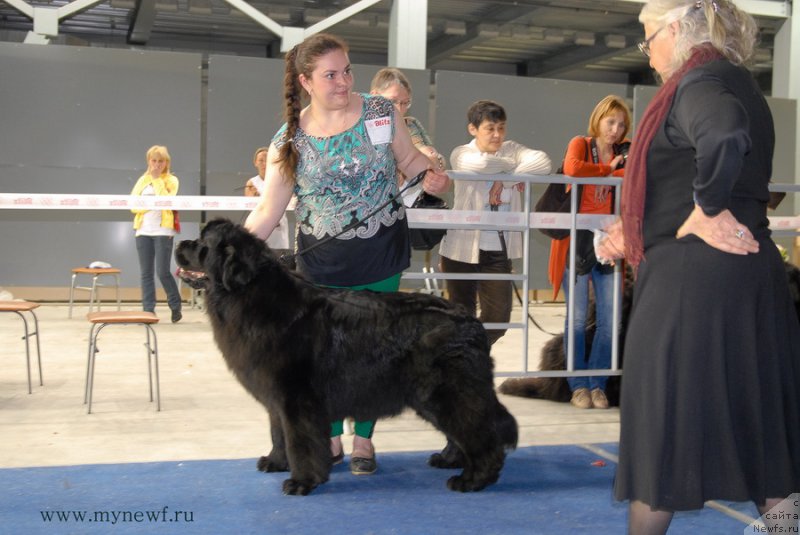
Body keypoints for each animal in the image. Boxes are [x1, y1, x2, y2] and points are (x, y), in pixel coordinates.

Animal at [175, 220, 520, 496]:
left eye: (202, 245)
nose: (180, 244)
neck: (249, 295)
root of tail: (471, 321)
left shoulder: (296, 399)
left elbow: (299, 441)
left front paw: (302, 481)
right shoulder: (276, 398)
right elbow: (278, 433)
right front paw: (275, 461)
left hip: (447, 392)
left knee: (480, 432)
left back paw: (473, 479)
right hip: (433, 397)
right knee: (464, 429)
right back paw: (449, 460)